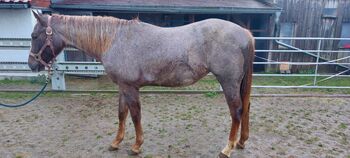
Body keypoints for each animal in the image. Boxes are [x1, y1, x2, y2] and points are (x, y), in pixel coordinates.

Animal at [28, 11, 254, 157]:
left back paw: (227, 148)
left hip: (228, 83)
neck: (114, 40)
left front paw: (136, 146)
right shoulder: (122, 87)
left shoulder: (130, 88)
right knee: (245, 107)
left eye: (34, 35)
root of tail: (245, 33)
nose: (31, 64)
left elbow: (135, 115)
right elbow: (122, 114)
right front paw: (116, 142)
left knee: (236, 110)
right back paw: (241, 142)